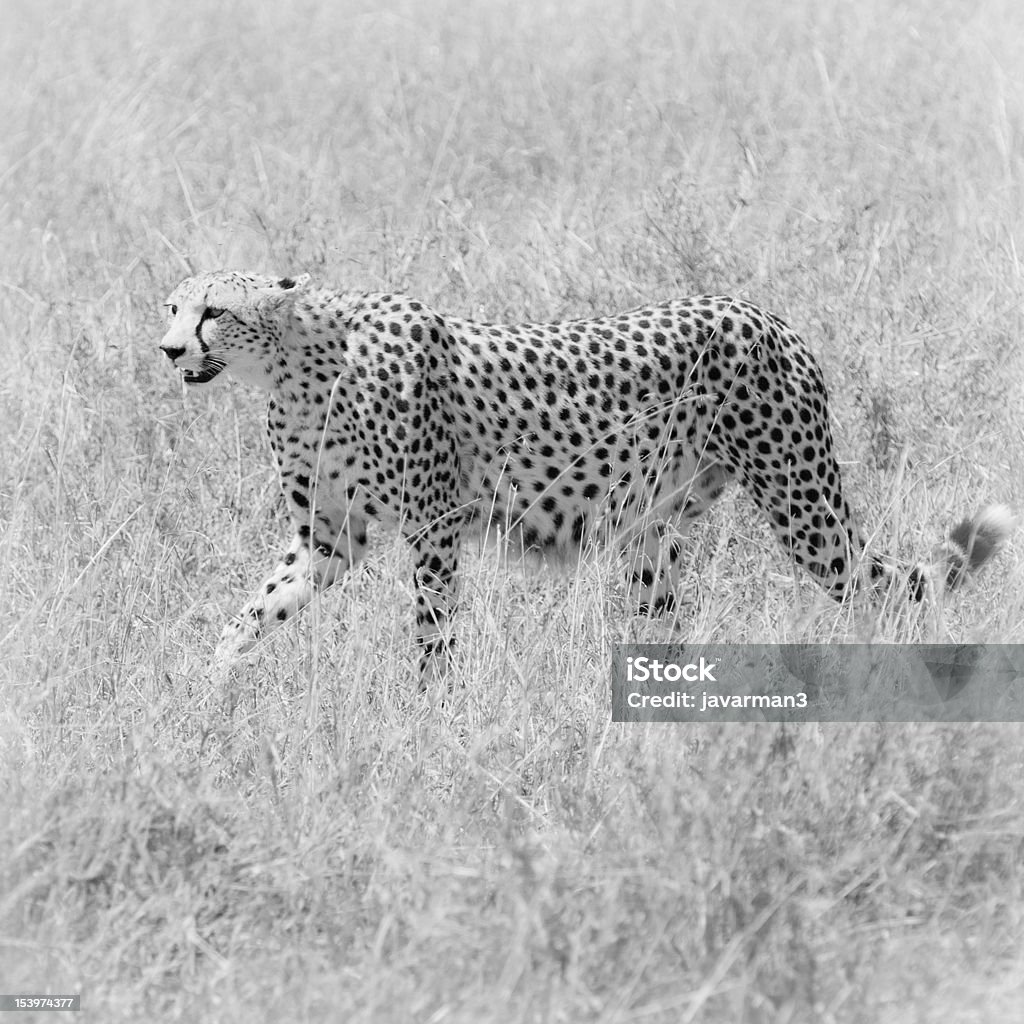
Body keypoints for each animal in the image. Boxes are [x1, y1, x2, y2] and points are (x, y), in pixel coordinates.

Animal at [157, 274, 1007, 679]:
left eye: (213, 311)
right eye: (171, 306)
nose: (167, 350)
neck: (296, 365)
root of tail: (766, 314)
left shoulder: (434, 528)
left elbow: (434, 632)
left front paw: (431, 716)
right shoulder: (329, 539)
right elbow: (256, 609)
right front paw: (209, 682)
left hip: (803, 507)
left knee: (882, 591)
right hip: (653, 533)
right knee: (667, 625)